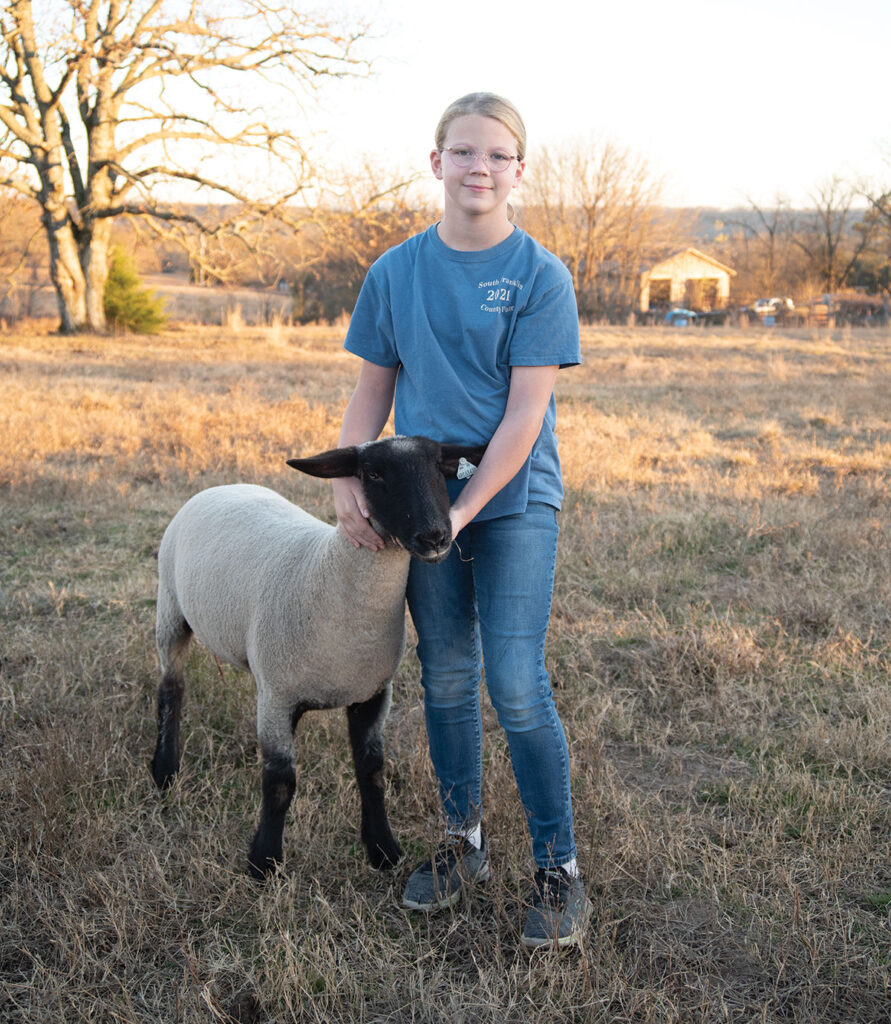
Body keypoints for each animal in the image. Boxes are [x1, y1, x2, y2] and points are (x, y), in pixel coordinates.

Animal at [152, 434, 487, 880]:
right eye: (373, 473)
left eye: (438, 466)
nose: (435, 536)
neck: (328, 575)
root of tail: (225, 485)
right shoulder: (279, 697)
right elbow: (280, 781)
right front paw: (264, 861)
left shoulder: (373, 694)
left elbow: (372, 772)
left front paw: (383, 849)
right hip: (171, 609)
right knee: (171, 687)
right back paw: (164, 770)